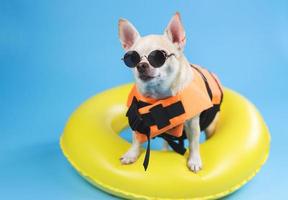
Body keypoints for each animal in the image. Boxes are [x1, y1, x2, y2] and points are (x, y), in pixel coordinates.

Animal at [118, 12, 222, 172]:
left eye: (158, 56)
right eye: (132, 58)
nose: (141, 65)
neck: (159, 96)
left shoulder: (193, 124)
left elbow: (194, 143)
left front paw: (194, 160)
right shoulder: (138, 120)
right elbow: (136, 138)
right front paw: (131, 154)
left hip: (211, 125)